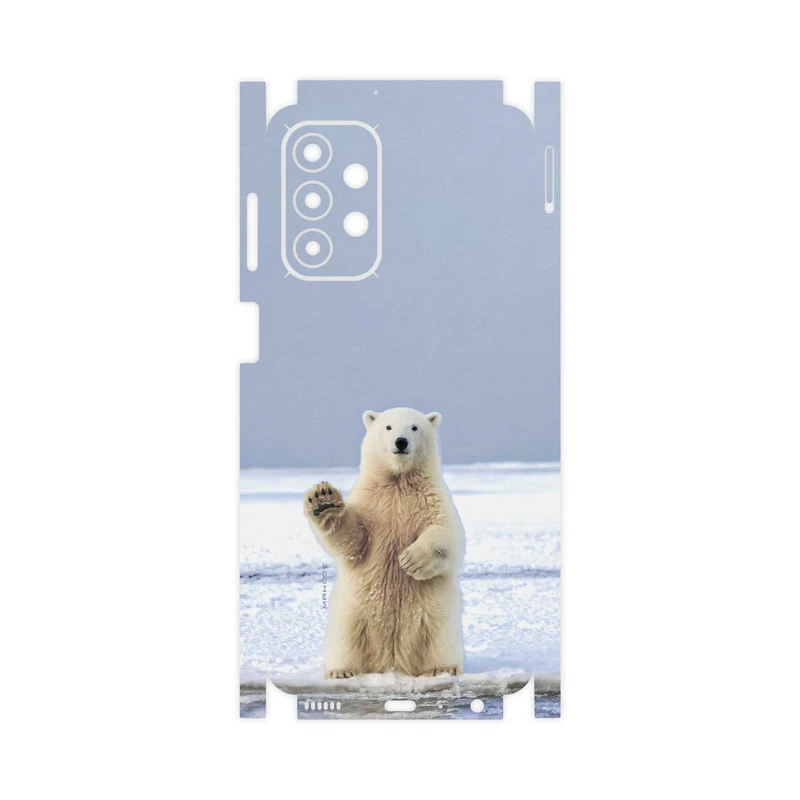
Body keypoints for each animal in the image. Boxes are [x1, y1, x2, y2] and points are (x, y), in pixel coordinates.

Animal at [304, 407, 465, 679]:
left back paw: (443, 668)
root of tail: (392, 662)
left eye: (414, 427)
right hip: (352, 612)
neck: (398, 481)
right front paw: (323, 501)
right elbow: (353, 540)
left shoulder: (432, 499)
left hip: (437, 615)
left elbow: (448, 534)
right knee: (346, 639)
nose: (401, 442)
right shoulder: (372, 503)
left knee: (440, 638)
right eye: (388, 427)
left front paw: (410, 560)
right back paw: (341, 671)